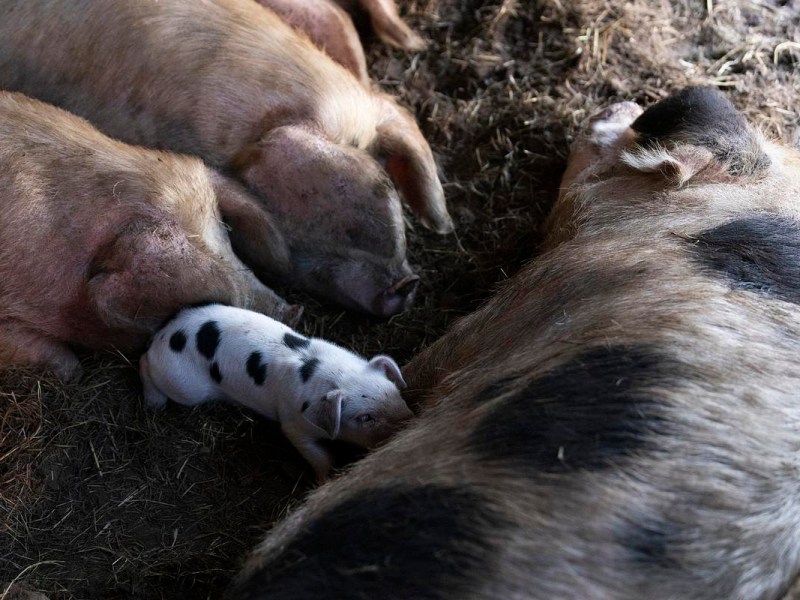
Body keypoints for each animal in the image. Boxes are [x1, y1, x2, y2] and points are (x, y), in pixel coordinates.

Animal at [141, 303, 412, 481]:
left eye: (395, 391)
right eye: (365, 417)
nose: (408, 421)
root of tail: (163, 334)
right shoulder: (293, 425)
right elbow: (319, 456)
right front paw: (325, 480)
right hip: (183, 385)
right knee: (144, 363)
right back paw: (154, 404)